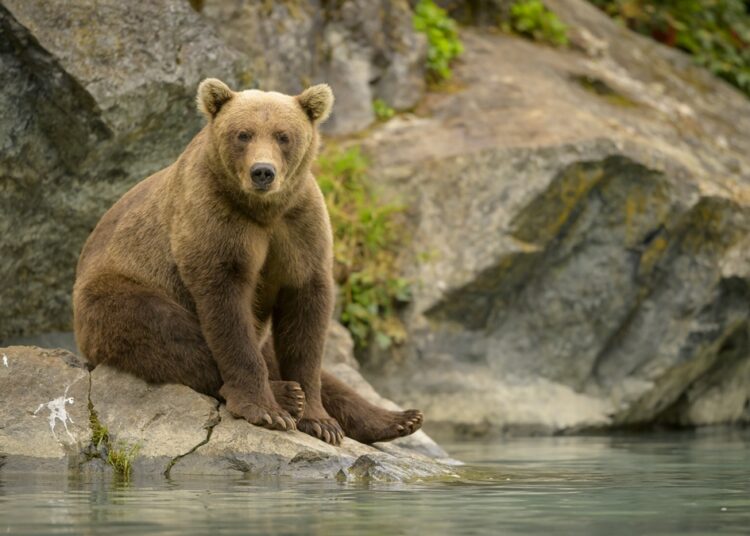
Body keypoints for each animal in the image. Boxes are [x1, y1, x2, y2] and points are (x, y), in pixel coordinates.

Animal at [72, 79, 422, 446]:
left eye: (283, 135)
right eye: (243, 134)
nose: (263, 172)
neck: (263, 211)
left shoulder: (300, 225)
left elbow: (306, 321)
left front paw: (321, 421)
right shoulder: (215, 221)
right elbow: (227, 311)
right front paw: (267, 410)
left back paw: (399, 418)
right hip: (116, 292)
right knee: (167, 331)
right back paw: (286, 394)